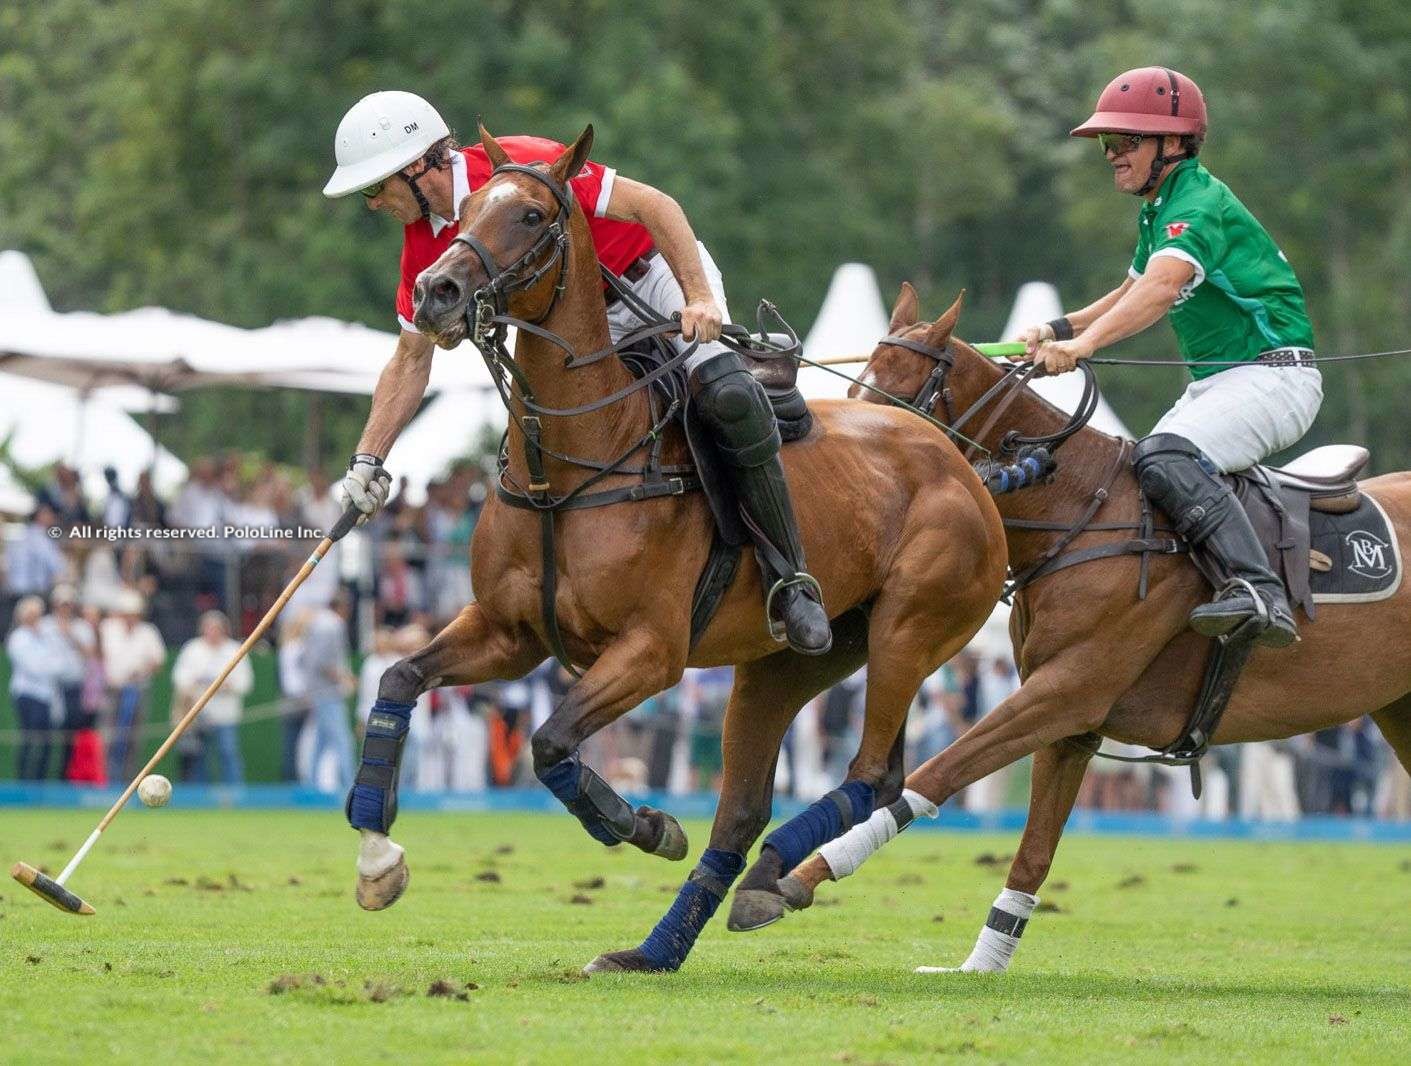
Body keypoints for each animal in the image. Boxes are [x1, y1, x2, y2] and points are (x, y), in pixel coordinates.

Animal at [358, 133, 1010, 977]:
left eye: (531, 214)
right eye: (460, 216)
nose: (435, 291)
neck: (568, 466)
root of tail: (961, 460)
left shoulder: (651, 650)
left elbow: (549, 741)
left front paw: (642, 825)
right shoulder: (508, 634)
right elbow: (399, 678)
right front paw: (376, 854)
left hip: (912, 627)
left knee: (872, 770)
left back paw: (769, 878)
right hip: (791, 662)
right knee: (752, 805)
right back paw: (670, 939)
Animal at [773, 288, 1411, 971]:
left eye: (901, 393)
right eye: (858, 383)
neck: (1079, 512)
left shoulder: (1069, 689)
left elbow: (934, 774)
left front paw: (790, 879)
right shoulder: (1071, 719)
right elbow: (1031, 851)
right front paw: (980, 965)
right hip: (1398, 706)